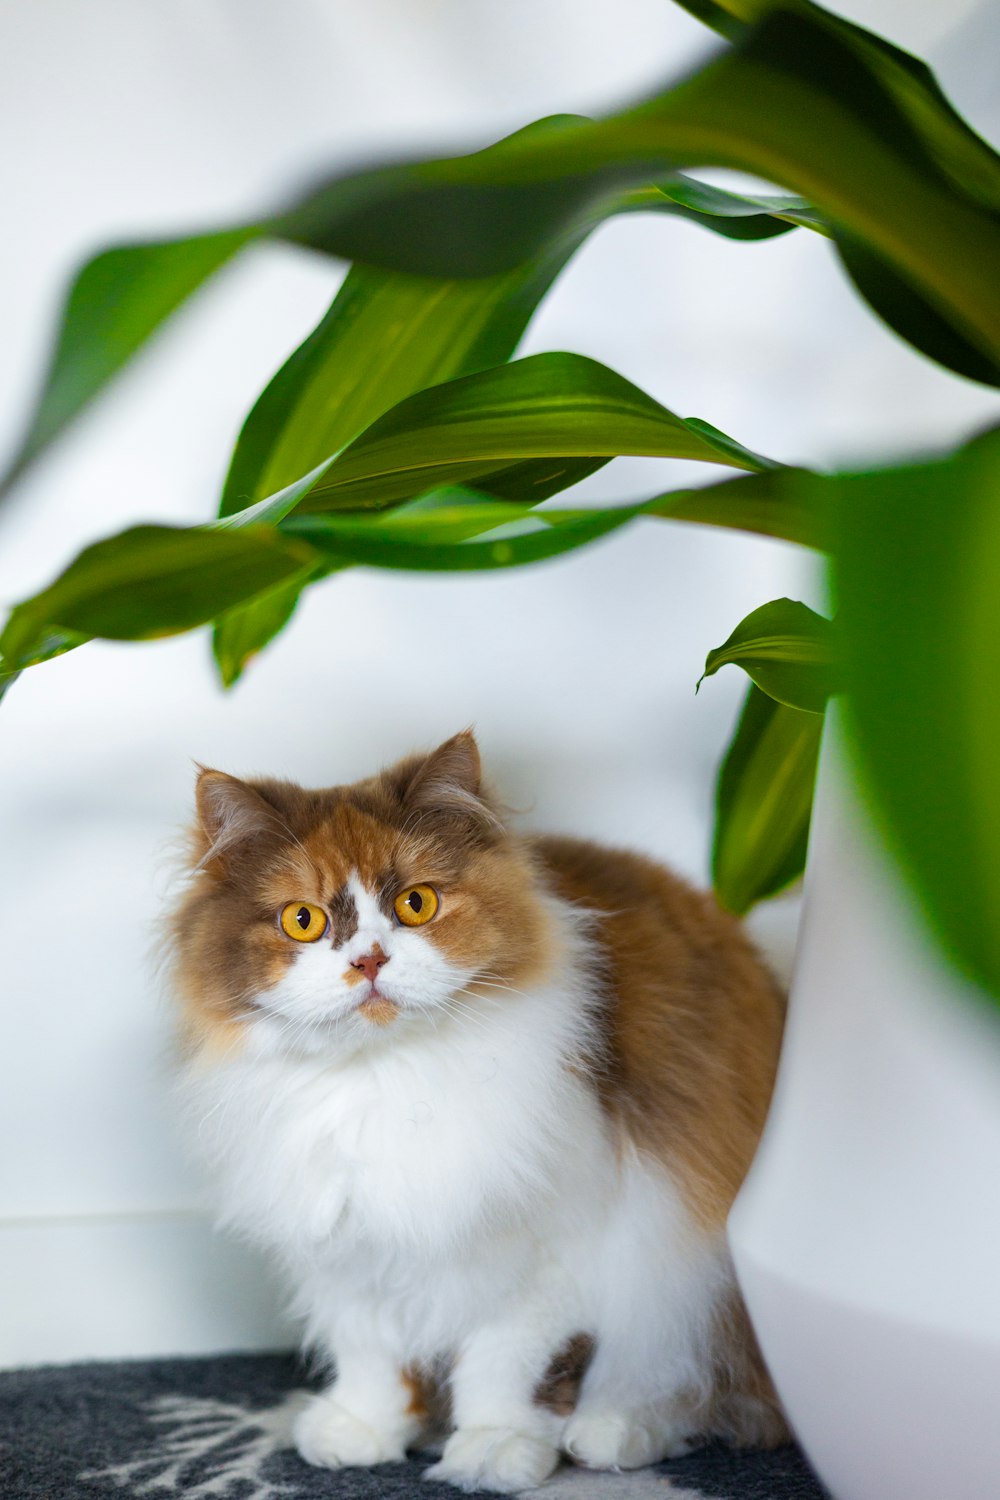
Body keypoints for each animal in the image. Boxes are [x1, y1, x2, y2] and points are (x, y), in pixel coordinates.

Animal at [170, 726, 791, 1488]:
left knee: (688, 1385)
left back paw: (613, 1433)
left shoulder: (556, 1249)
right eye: (302, 920)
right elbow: (371, 1354)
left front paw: (495, 1449)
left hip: (692, 1269)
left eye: (416, 905)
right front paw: (364, 1430)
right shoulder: (353, 1247)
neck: (380, 1079)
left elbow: (504, 1366)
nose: (368, 962)